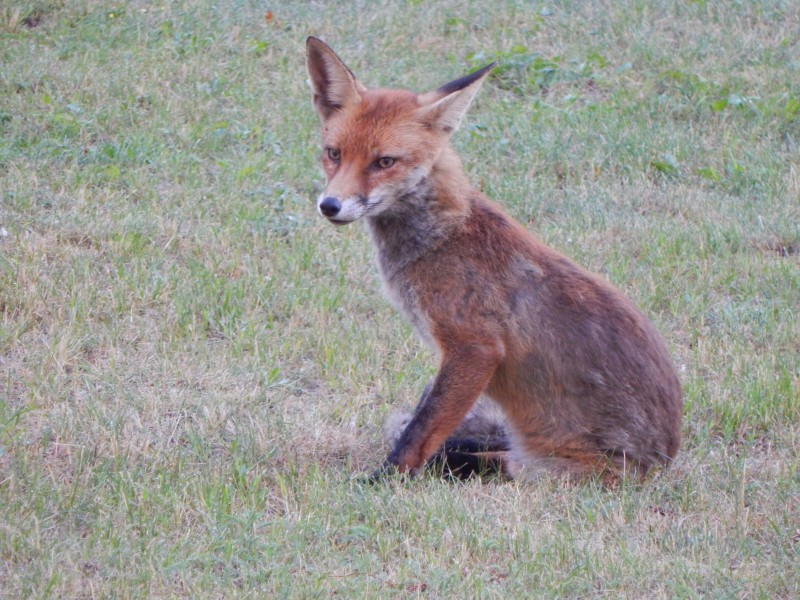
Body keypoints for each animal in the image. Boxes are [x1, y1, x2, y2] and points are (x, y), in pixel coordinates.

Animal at [306, 36, 680, 482]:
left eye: (384, 162)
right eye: (333, 154)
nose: (329, 205)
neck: (442, 236)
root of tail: (664, 461)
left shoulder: (474, 347)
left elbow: (418, 431)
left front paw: (383, 481)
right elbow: (422, 420)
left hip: (543, 470)